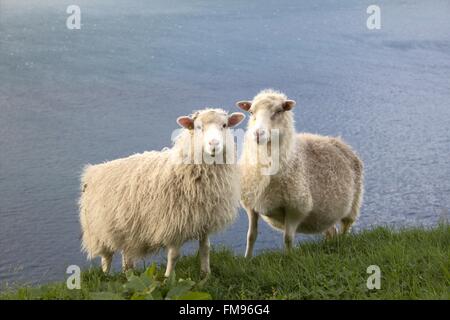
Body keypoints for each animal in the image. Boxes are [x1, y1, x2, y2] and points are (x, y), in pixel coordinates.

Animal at [79, 107, 244, 276]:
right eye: (199, 127)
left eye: (224, 125)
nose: (214, 144)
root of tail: (93, 171)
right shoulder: (173, 224)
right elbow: (174, 255)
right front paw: (168, 277)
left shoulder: (204, 221)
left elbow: (205, 249)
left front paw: (205, 275)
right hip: (100, 230)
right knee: (106, 257)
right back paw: (105, 275)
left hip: (126, 229)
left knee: (126, 255)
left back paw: (128, 274)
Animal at [237, 89, 364, 258]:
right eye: (251, 112)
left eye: (279, 111)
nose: (258, 134)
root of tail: (340, 142)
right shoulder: (252, 204)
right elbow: (251, 236)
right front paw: (247, 259)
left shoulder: (295, 207)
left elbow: (288, 238)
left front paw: (289, 258)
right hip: (324, 216)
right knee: (332, 231)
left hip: (353, 206)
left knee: (345, 229)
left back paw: (342, 245)